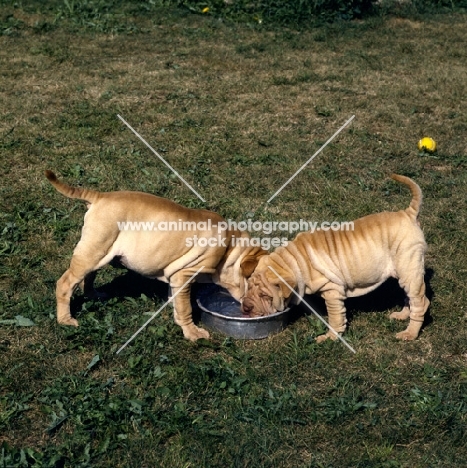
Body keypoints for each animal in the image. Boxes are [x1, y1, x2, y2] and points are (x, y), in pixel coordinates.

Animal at [48, 171, 268, 340]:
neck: (230, 248)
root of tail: (99, 196)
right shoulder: (184, 275)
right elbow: (186, 308)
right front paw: (193, 333)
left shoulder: (176, 278)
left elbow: (178, 303)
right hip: (93, 250)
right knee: (65, 283)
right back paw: (65, 319)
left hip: (100, 251)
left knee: (89, 275)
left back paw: (93, 295)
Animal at [243, 174, 430, 342]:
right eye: (249, 287)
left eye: (265, 295)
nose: (245, 307)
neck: (294, 260)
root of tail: (407, 213)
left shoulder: (332, 291)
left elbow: (335, 317)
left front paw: (329, 338)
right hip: (405, 271)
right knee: (410, 297)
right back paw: (402, 315)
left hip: (409, 266)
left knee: (421, 302)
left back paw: (409, 333)